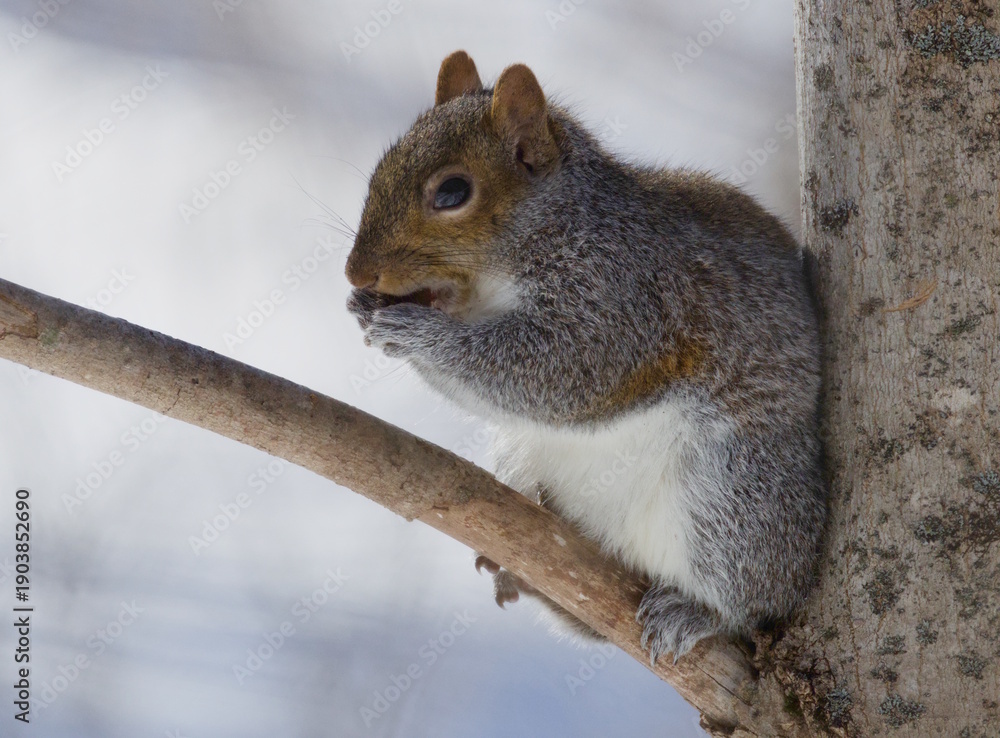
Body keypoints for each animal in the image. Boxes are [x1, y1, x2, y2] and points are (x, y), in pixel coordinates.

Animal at [344, 50, 826, 663]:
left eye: (451, 193)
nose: (357, 273)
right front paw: (367, 310)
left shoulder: (624, 299)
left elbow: (565, 371)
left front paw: (416, 333)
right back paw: (524, 574)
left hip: (735, 494)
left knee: (757, 597)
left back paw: (698, 613)